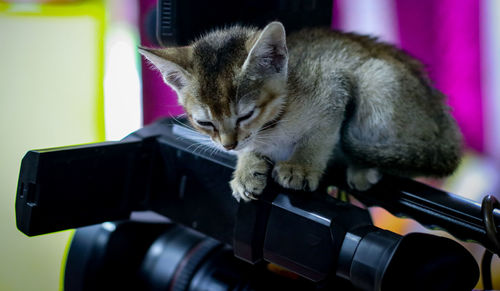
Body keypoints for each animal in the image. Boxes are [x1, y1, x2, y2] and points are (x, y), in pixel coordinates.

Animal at [139, 21, 462, 203]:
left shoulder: (335, 86)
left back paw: (362, 169)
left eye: (245, 115)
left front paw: (301, 166)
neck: (274, 123)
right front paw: (246, 168)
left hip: (377, 81)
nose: (229, 145)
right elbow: (252, 149)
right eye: (205, 122)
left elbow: (320, 136)